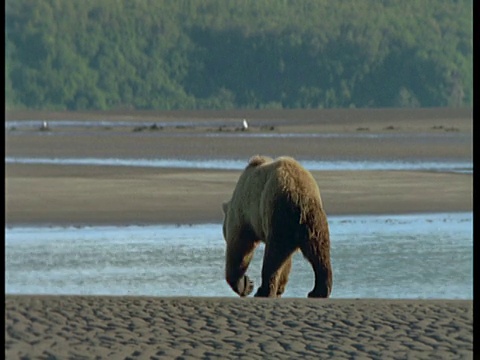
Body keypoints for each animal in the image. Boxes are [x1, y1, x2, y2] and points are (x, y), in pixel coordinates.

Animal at [222, 155, 332, 298]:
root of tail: (299, 195)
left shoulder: (244, 214)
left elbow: (240, 248)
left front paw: (246, 285)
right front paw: (278, 287)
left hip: (277, 214)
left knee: (273, 255)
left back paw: (263, 291)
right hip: (314, 220)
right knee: (319, 252)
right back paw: (318, 291)